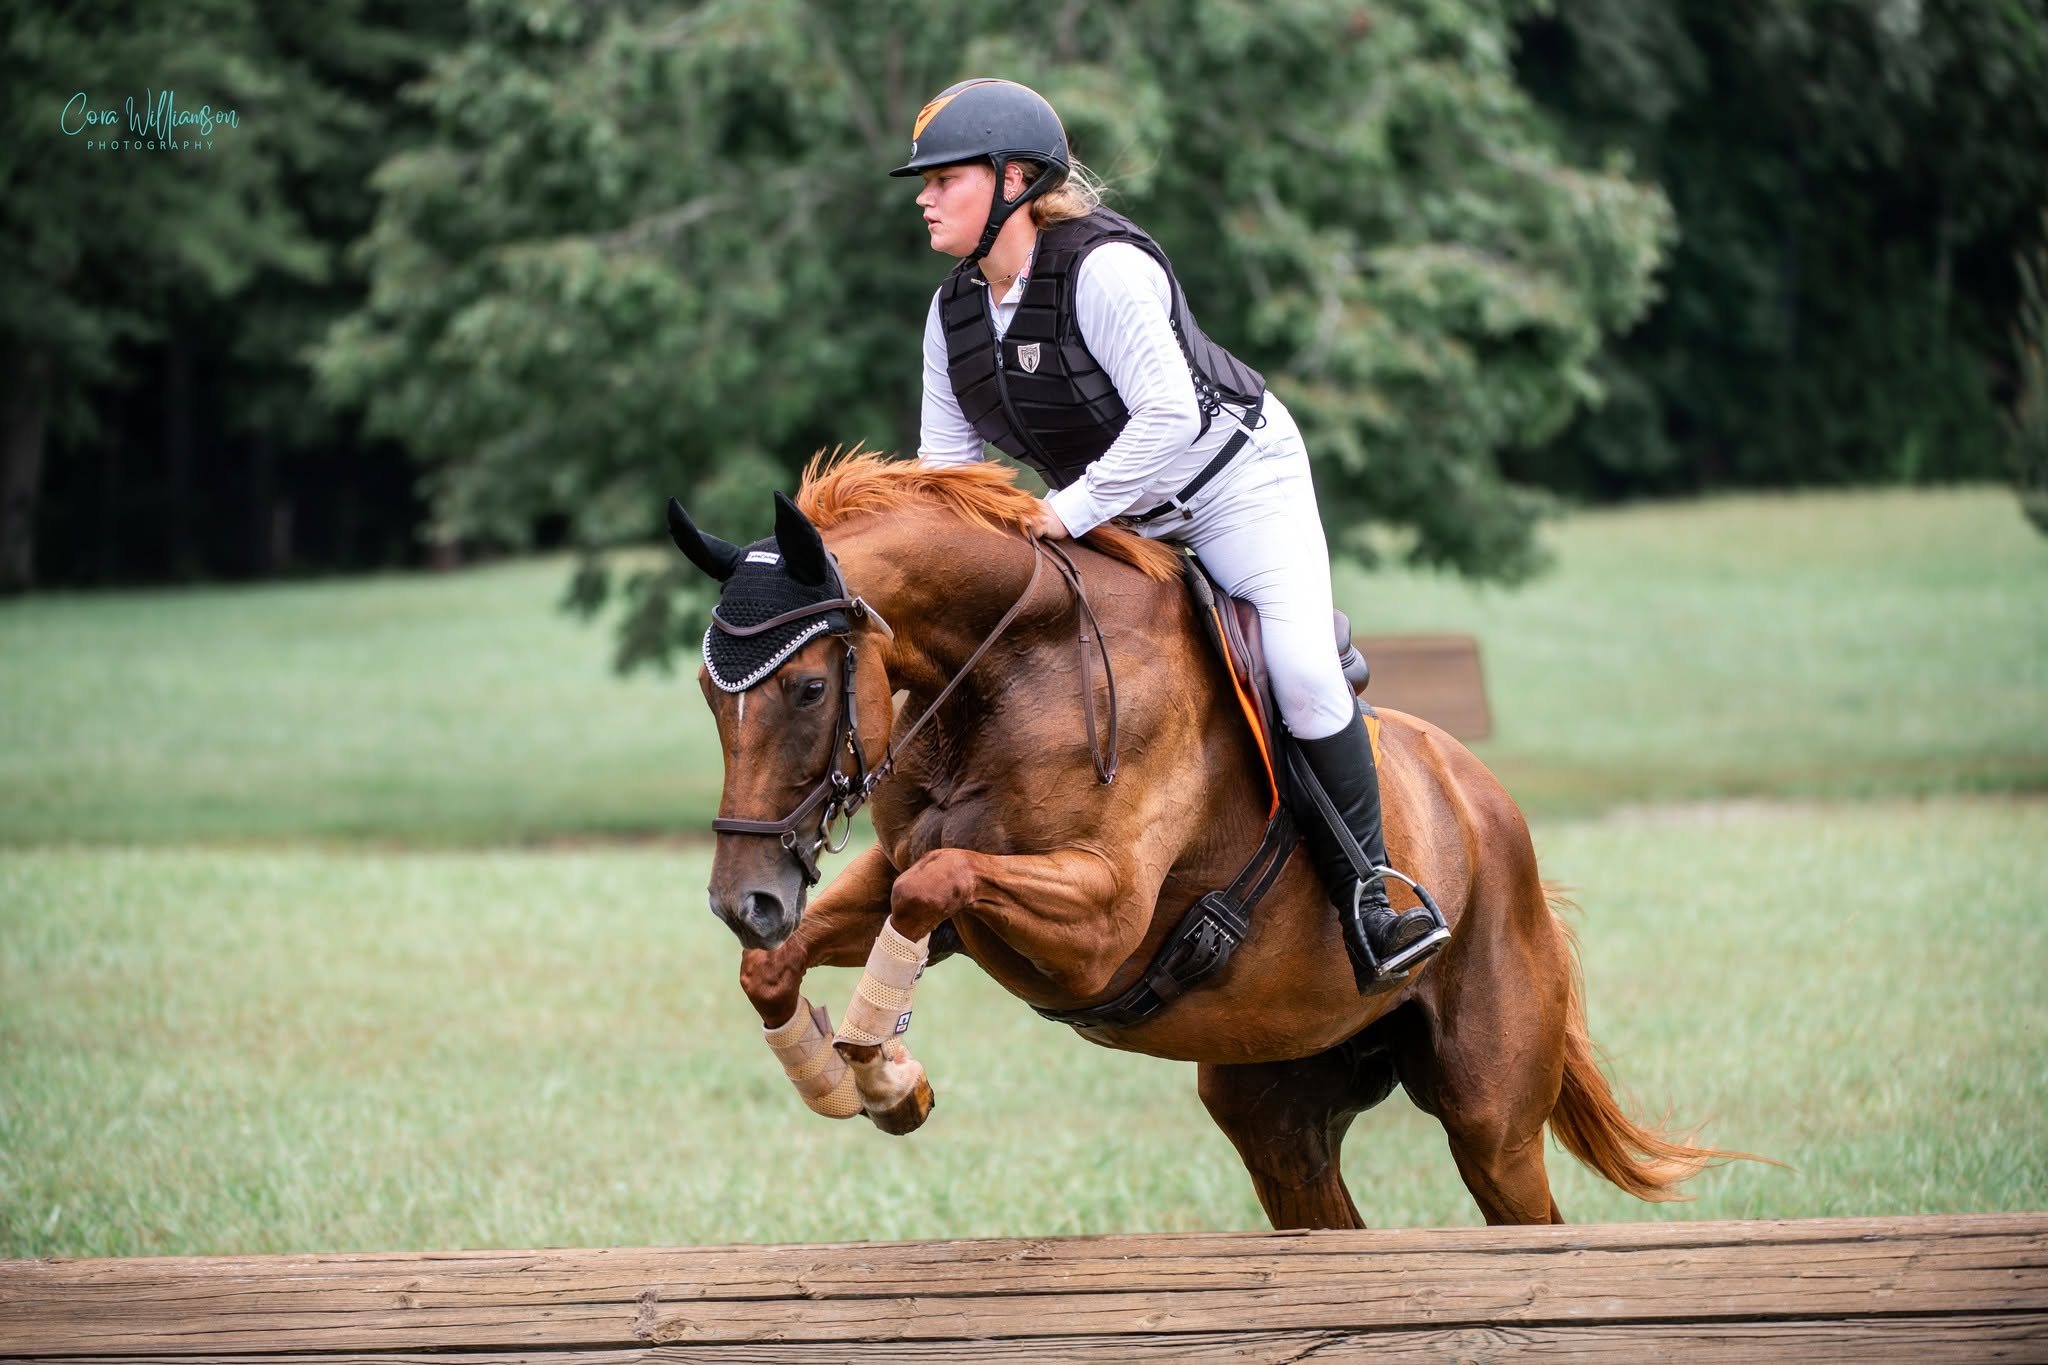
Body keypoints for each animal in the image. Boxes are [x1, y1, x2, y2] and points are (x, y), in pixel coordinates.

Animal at [669, 451, 1747, 1229]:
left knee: (1527, 1209)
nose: (744, 900)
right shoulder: (912, 874)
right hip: (1276, 1112)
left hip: (1489, 1114)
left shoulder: (1098, 920)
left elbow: (931, 884)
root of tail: (1487, 808)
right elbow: (791, 959)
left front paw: (877, 1060)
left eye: (809, 688)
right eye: (707, 695)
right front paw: (866, 1078)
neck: (1010, 667)